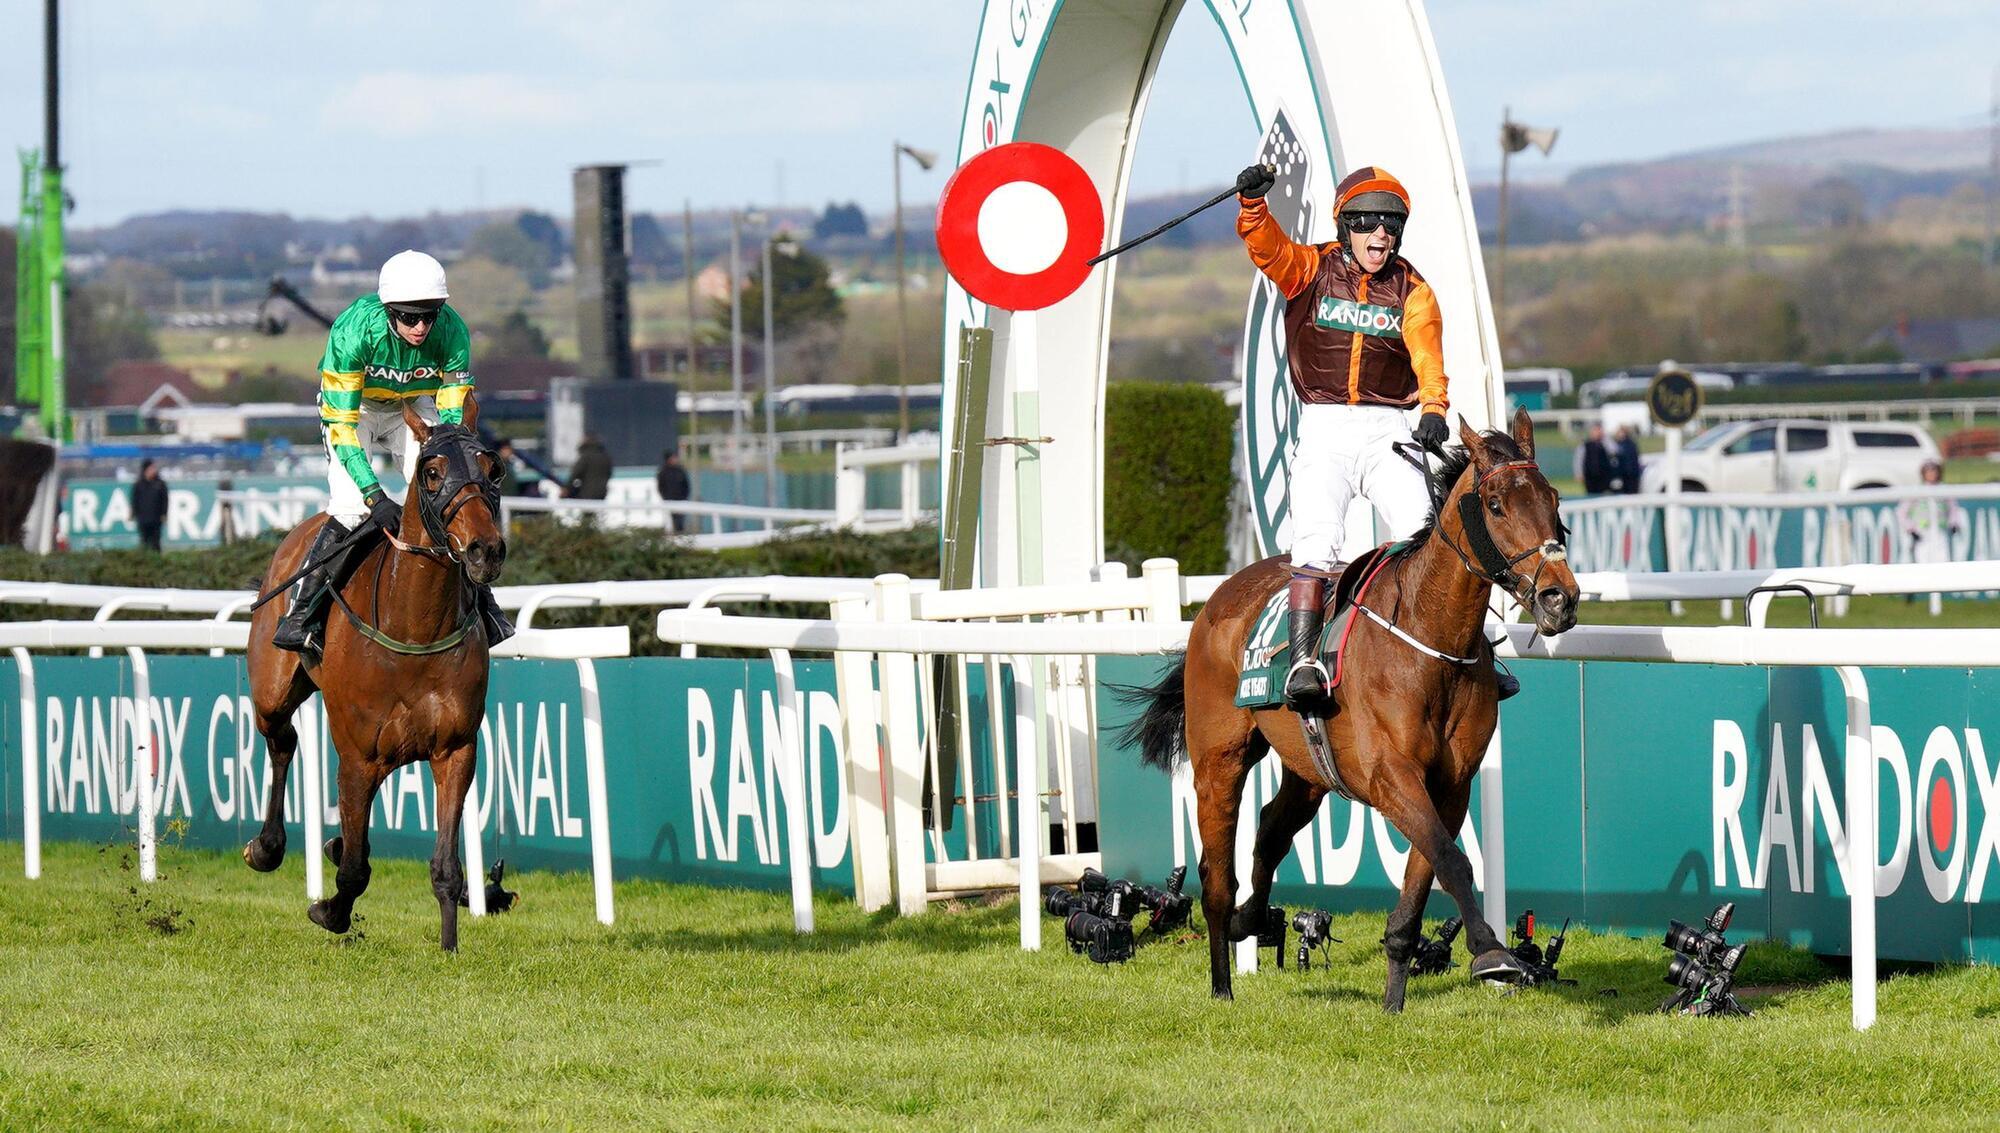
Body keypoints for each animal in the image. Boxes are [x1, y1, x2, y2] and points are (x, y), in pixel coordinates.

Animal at [240, 397, 507, 952]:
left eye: (494, 470)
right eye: (432, 473)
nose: (484, 550)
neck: (415, 628)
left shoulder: (455, 749)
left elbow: (445, 867)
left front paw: (449, 945)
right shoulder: (357, 757)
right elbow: (355, 871)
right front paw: (330, 911)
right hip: (272, 689)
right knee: (282, 740)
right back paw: (267, 847)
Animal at [1121, 410, 1578, 1011]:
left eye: (1554, 500)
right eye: (1497, 504)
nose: (1559, 598)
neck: (1430, 640)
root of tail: (1219, 597)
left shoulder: (1450, 784)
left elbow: (1426, 874)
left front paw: (1393, 1002)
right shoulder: (1391, 776)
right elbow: (1453, 859)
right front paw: (1489, 951)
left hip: (1308, 769)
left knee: (1270, 829)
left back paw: (1251, 919)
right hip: (1219, 759)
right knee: (1217, 876)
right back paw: (1222, 982)